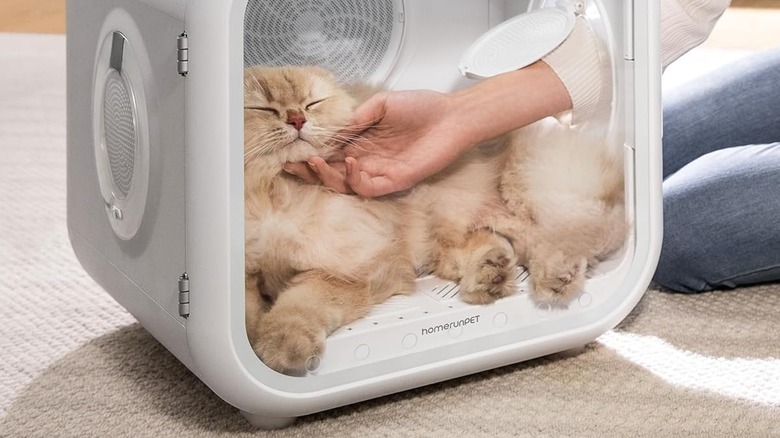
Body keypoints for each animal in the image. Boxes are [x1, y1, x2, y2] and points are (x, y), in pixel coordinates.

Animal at [241, 66, 516, 372]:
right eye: (263, 108)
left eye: (312, 103)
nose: (297, 119)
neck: (275, 192)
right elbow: (248, 311)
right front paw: (254, 339)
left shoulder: (344, 269)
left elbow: (300, 306)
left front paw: (283, 347)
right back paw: (492, 274)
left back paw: (491, 274)